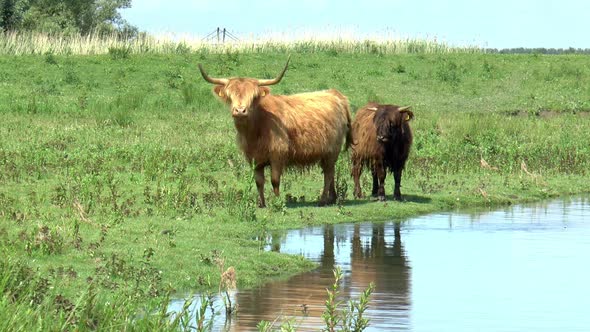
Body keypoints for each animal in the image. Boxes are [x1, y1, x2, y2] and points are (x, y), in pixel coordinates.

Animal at [201, 57, 354, 208]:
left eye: (253, 97)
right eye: (230, 96)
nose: (240, 111)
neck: (254, 132)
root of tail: (335, 94)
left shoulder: (277, 155)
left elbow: (275, 180)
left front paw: (277, 202)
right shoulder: (254, 159)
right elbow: (259, 181)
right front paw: (261, 204)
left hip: (332, 150)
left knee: (328, 173)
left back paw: (323, 200)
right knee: (330, 172)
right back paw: (332, 198)